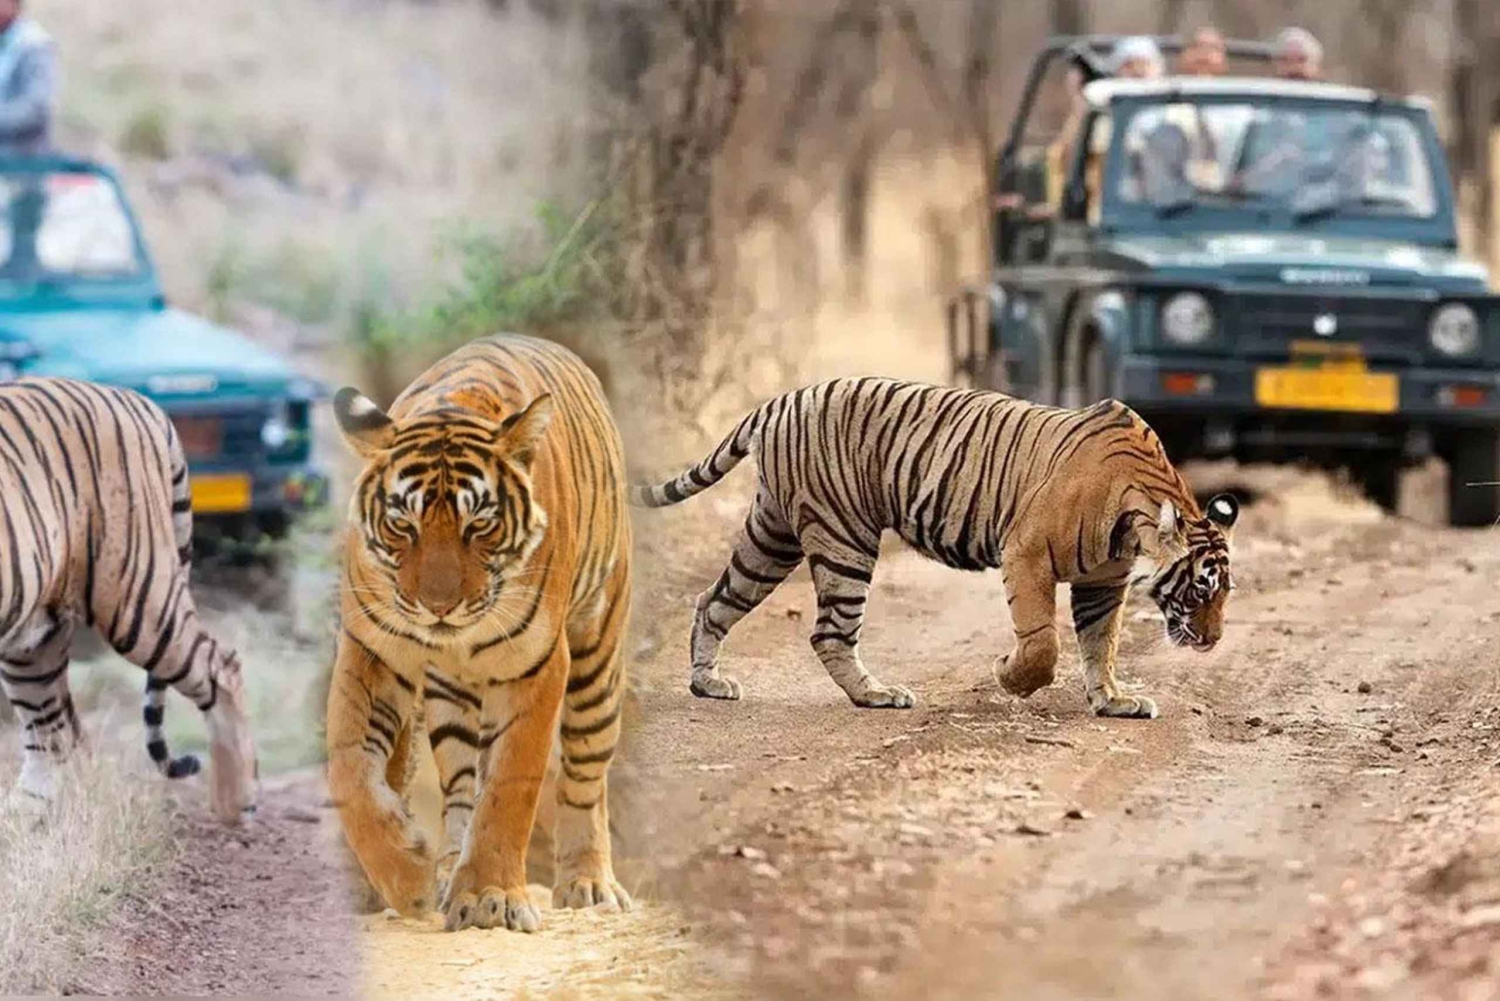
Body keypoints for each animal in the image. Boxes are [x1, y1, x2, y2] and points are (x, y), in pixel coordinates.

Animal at [0, 377, 257, 820]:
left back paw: (236, 801)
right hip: (33, 639)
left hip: (139, 602)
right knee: (52, 733)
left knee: (221, 666)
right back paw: (24, 817)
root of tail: (135, 398)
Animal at [327, 333, 633, 934]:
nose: (438, 607)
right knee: (461, 787)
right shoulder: (373, 649)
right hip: (450, 701)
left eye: (480, 526)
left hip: (598, 659)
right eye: (403, 525)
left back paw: (588, 882)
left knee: (584, 778)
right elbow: (349, 768)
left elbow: (512, 783)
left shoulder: (539, 663)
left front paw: (492, 895)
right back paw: (447, 870)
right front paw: (411, 878)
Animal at [630, 377, 1239, 718]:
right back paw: (876, 695)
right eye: (1200, 587)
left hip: (772, 533)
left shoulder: (1103, 582)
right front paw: (1007, 675)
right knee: (829, 632)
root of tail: (780, 400)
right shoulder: (1027, 554)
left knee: (714, 599)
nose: (1213, 641)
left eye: (1226, 593)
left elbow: (1100, 644)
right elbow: (1043, 643)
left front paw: (1112, 700)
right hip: (844, 537)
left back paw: (707, 683)